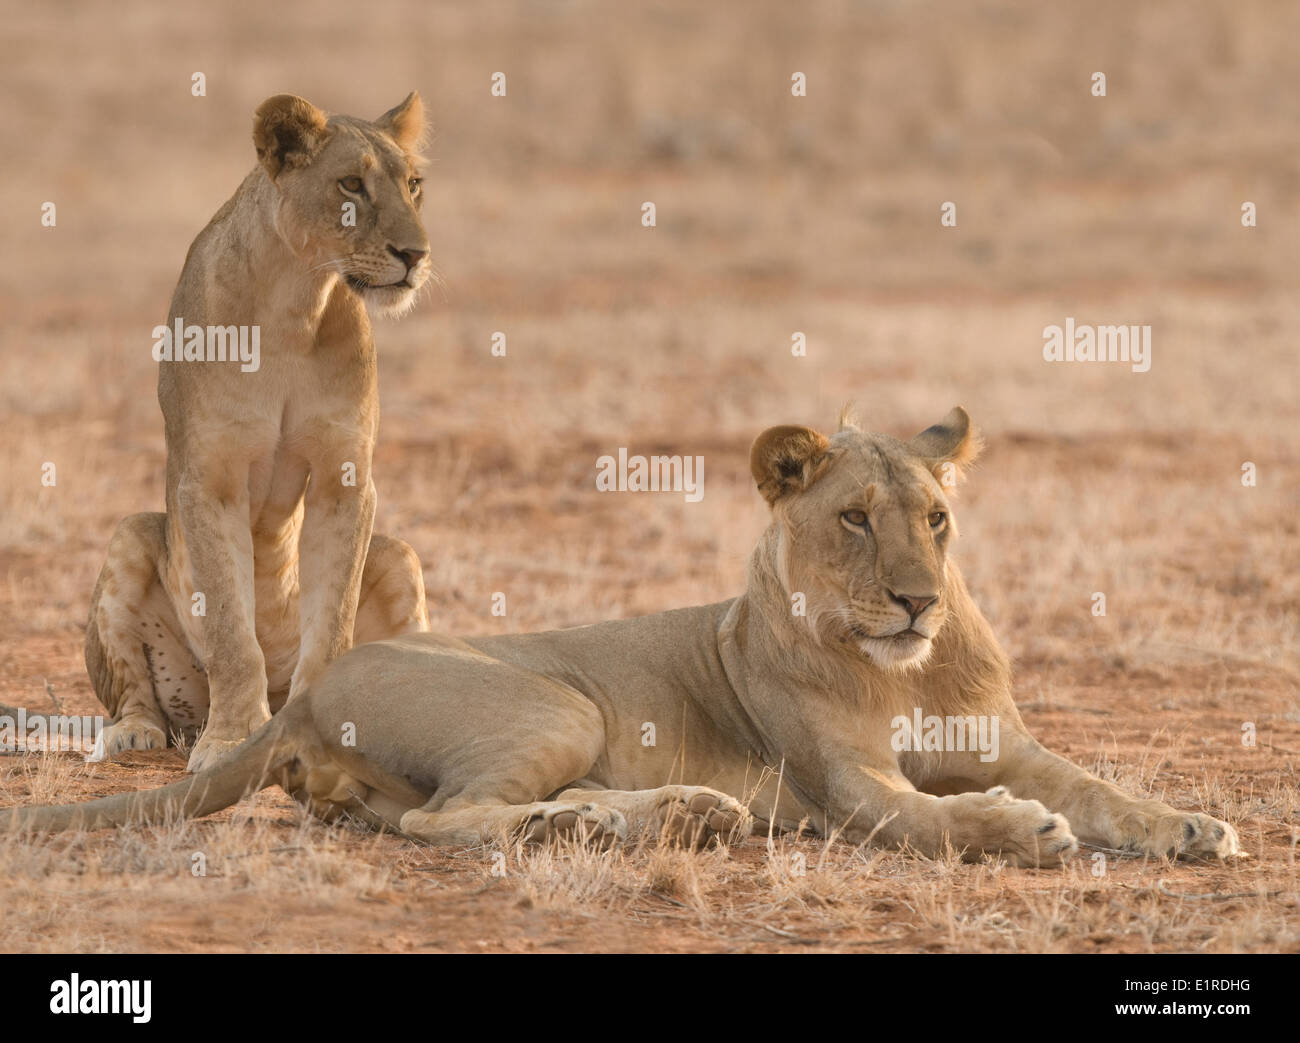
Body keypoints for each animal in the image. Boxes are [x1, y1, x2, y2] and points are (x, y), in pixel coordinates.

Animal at [8, 409, 1241, 866]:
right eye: (854, 518)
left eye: (936, 519)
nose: (916, 601)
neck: (912, 671)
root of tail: (300, 693)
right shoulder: (847, 785)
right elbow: (942, 816)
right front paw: (1022, 827)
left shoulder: (1006, 738)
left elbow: (1101, 786)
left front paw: (1189, 825)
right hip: (557, 700)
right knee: (453, 820)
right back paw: (620, 823)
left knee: (428, 813)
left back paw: (674, 816)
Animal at [82, 92, 434, 773]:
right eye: (351, 185)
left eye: (414, 186)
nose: (417, 256)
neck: (297, 302)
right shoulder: (208, 481)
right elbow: (230, 630)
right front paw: (229, 741)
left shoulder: (346, 481)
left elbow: (331, 625)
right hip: (130, 540)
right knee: (136, 695)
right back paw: (133, 733)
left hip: (398, 554)